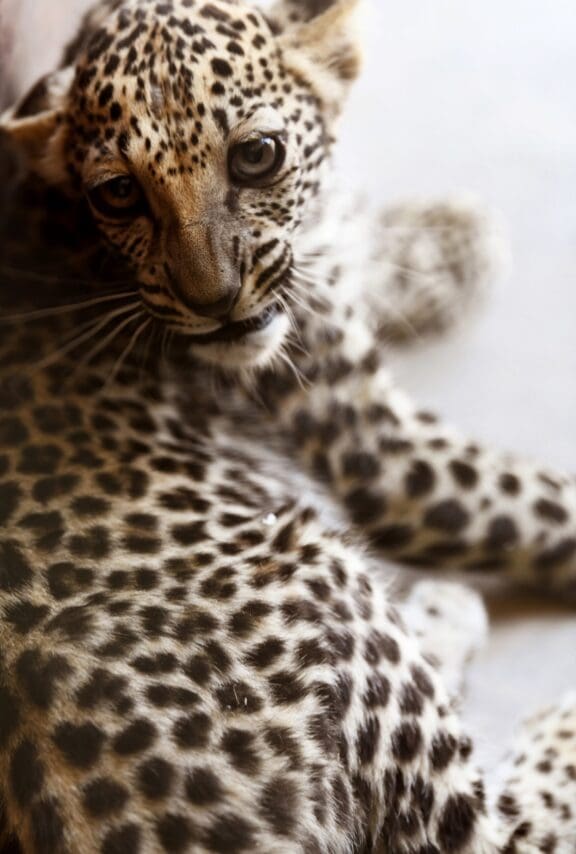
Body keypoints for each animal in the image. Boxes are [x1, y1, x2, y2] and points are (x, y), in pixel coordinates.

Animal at [1, 0, 576, 852]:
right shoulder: (386, 453)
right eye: (119, 194)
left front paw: (448, 230)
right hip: (312, 559)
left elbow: (364, 243)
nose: (214, 301)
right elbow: (551, 497)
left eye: (257, 157)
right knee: (487, 830)